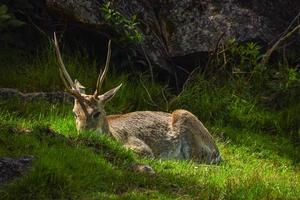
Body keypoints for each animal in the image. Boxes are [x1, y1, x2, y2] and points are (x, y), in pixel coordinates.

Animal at [52, 32, 220, 164]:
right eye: (75, 113)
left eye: (97, 113)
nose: (84, 133)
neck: (114, 135)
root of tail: (217, 151)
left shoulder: (139, 146)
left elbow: (141, 152)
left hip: (187, 122)